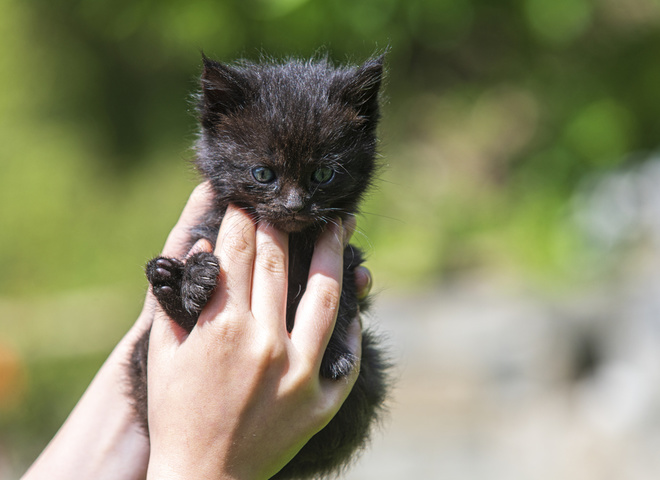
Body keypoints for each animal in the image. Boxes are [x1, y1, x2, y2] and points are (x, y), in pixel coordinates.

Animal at [127, 54, 386, 478]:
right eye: (263, 174)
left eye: (323, 174)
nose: (295, 205)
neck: (293, 243)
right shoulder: (208, 229)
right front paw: (194, 278)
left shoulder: (348, 258)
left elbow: (344, 297)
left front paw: (332, 353)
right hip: (140, 355)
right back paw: (170, 285)